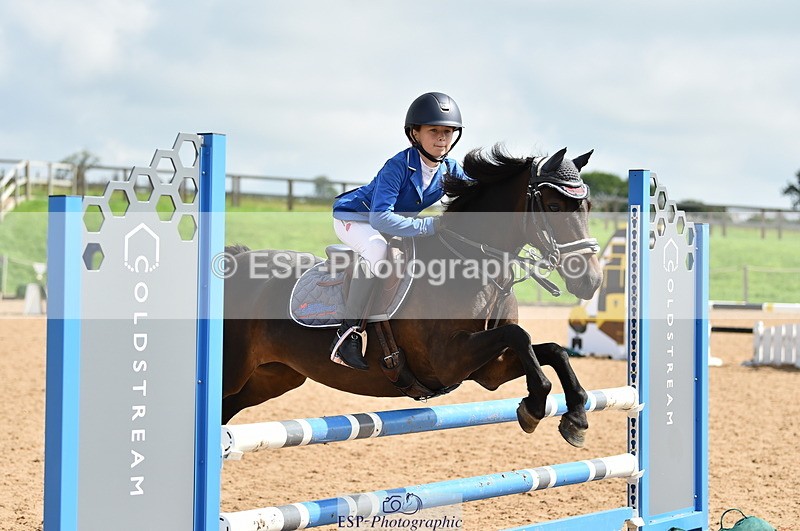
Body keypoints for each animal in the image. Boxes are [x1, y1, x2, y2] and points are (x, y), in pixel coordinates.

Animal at [221, 145, 603, 447]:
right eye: (553, 206)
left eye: (587, 205)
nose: (591, 281)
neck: (473, 263)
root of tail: (237, 262)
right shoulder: (448, 359)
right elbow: (519, 335)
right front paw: (536, 406)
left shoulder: (487, 369)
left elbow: (551, 350)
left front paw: (576, 417)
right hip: (234, 371)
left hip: (270, 378)